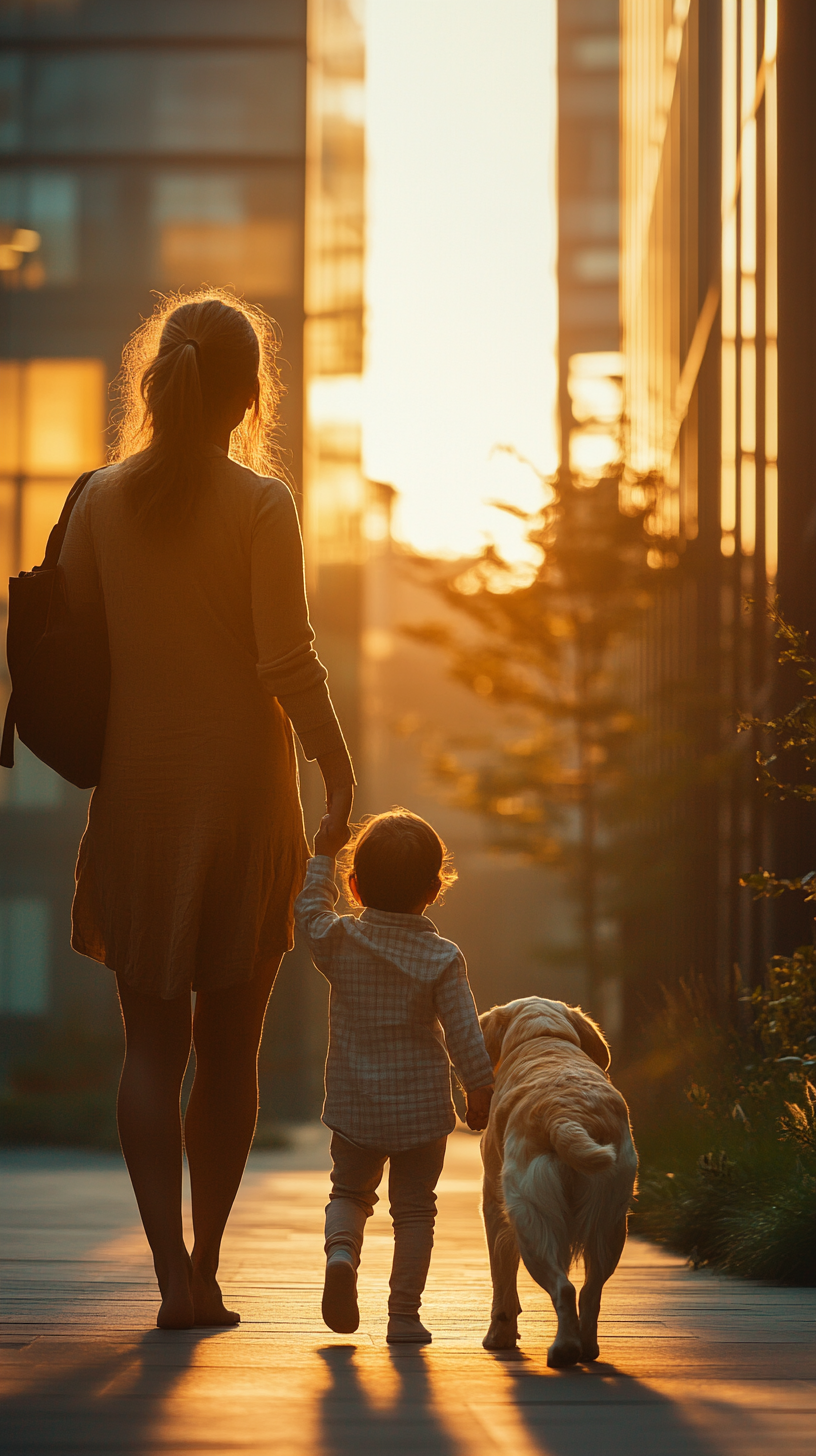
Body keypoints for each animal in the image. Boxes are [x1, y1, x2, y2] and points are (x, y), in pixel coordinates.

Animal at [477, 995, 638, 1356]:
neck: (543, 1035)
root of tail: (566, 1115)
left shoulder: (493, 1205)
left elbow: (501, 1281)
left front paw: (499, 1337)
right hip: (611, 1222)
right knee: (591, 1291)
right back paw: (586, 1347)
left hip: (530, 1220)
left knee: (563, 1288)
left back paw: (564, 1349)